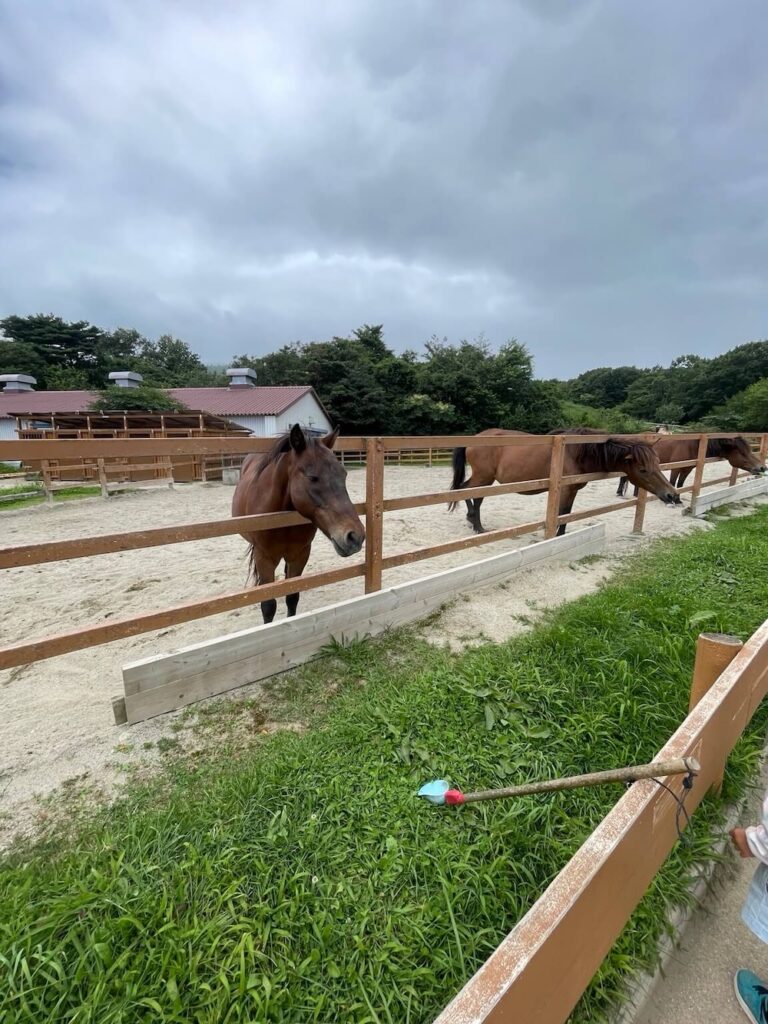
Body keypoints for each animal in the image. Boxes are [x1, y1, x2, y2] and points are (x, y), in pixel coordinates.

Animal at [232, 424, 365, 623]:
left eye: (344, 474)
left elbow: (292, 596)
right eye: (312, 477)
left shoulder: (300, 554)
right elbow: (268, 605)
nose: (355, 537)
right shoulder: (264, 558)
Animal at [449, 427, 681, 537]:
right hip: (484, 477)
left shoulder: (573, 490)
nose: (671, 495)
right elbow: (561, 514)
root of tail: (476, 438)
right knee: (471, 494)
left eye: (658, 462)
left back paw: (472, 520)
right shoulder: (565, 490)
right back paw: (477, 526)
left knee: (466, 492)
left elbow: (567, 514)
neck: (576, 450)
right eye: (643, 469)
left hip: (483, 477)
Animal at [616, 435, 766, 497]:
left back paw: (636, 494)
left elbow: (680, 485)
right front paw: (674, 499)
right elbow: (672, 483)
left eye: (750, 450)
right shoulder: (676, 468)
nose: (762, 467)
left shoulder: (687, 469)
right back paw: (620, 493)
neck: (694, 447)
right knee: (623, 478)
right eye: (742, 452)